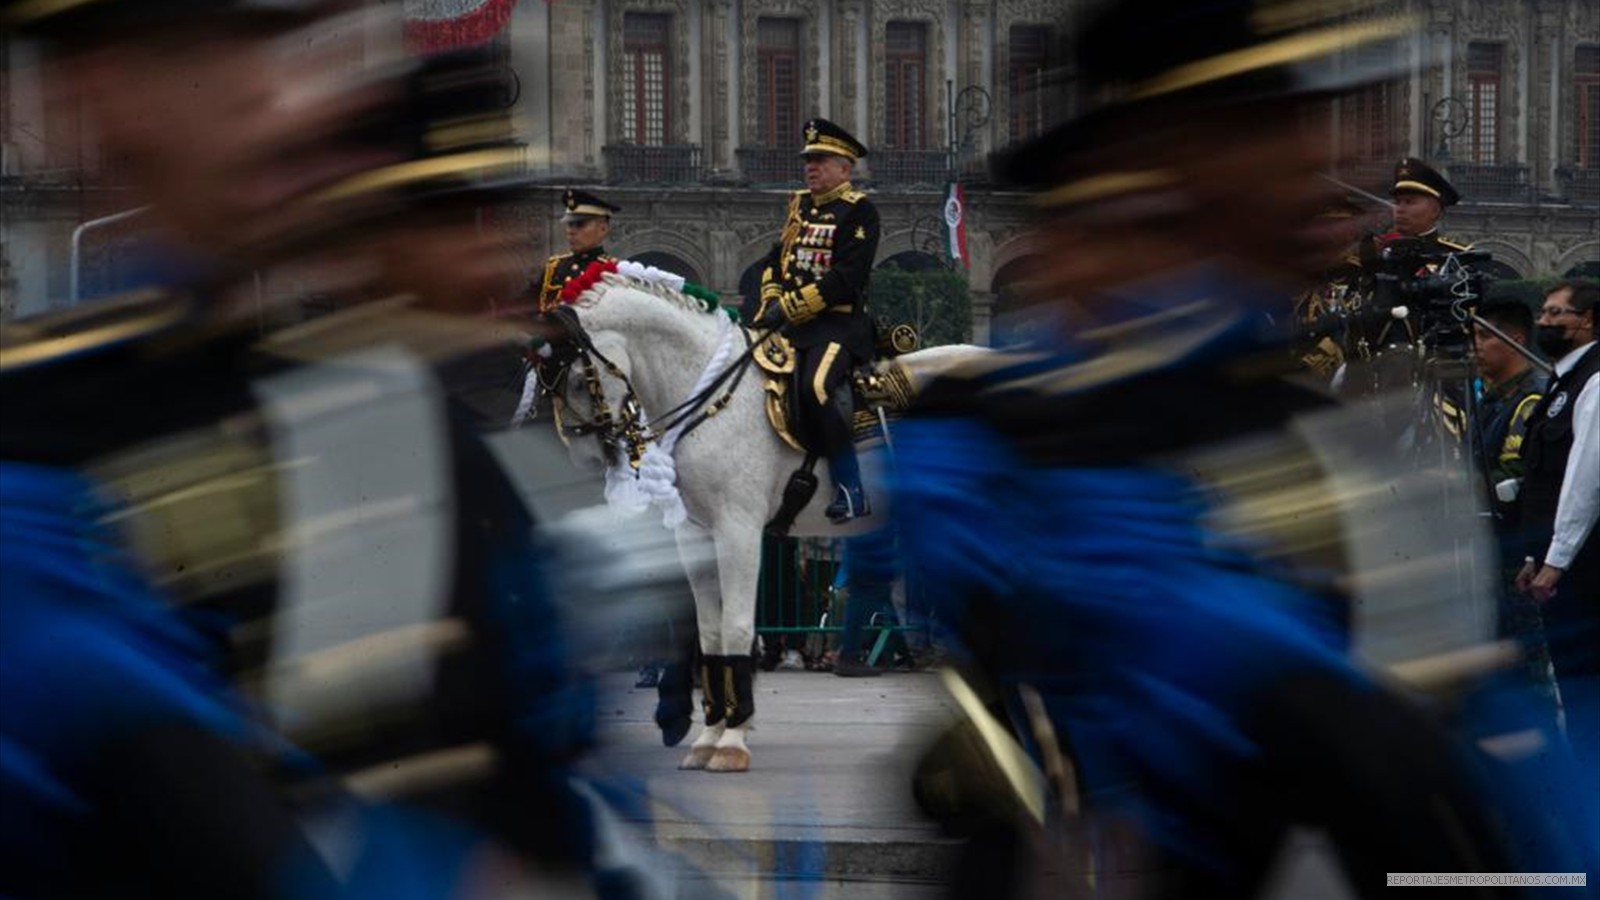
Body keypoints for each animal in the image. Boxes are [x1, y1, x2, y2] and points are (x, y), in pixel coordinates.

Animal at [524, 267, 979, 771]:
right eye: (546, 388)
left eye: (577, 380)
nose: (586, 460)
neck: (705, 392)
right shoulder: (693, 535)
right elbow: (711, 633)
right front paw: (708, 735)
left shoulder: (737, 530)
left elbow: (738, 628)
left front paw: (732, 741)